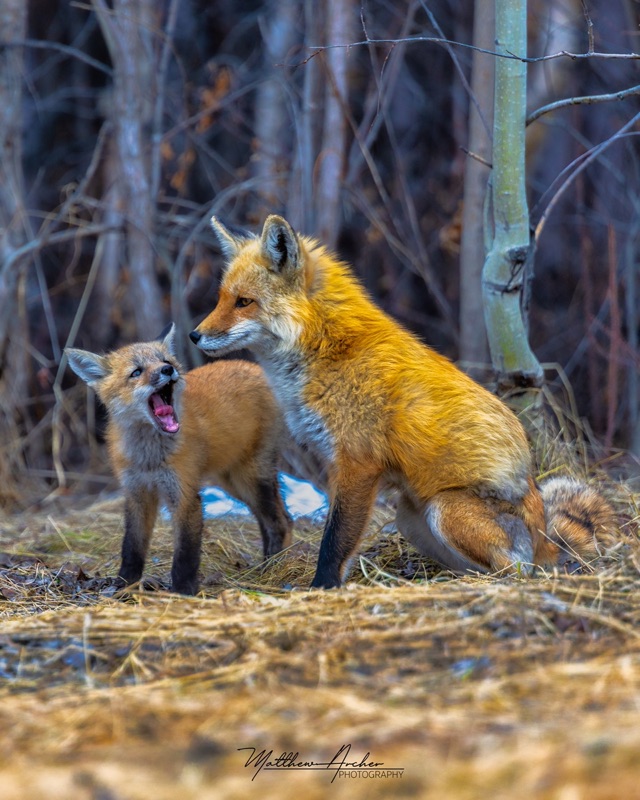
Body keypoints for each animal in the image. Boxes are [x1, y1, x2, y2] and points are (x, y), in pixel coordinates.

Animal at [66, 324, 292, 594]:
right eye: (136, 372)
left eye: (166, 361)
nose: (167, 370)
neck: (150, 459)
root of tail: (254, 368)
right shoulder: (137, 493)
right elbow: (132, 548)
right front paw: (125, 586)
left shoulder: (185, 495)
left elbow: (185, 554)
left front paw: (183, 592)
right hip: (234, 483)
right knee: (279, 519)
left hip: (252, 478)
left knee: (279, 522)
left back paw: (273, 569)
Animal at [189, 215, 616, 589]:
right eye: (222, 299)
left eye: (244, 302)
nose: (194, 336)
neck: (327, 347)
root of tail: (544, 534)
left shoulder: (358, 462)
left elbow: (335, 540)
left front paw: (321, 588)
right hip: (412, 518)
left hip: (446, 511)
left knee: (516, 571)